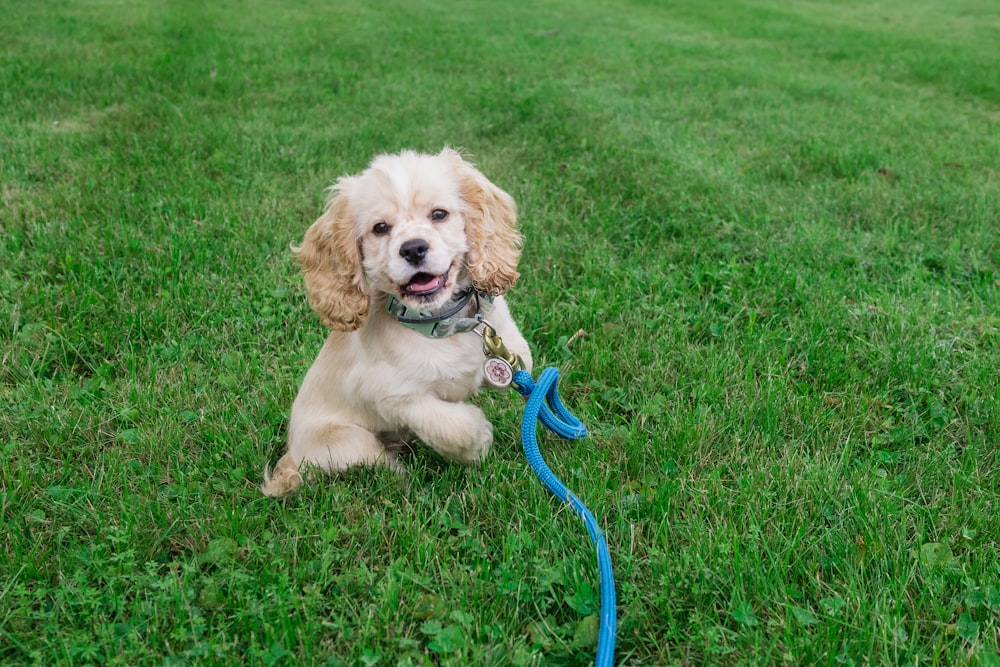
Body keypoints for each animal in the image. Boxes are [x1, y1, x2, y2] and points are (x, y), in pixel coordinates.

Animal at [264, 149, 532, 498]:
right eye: (380, 228)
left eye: (439, 214)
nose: (414, 248)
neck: (439, 324)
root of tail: (292, 458)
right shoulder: (390, 394)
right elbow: (451, 425)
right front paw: (479, 440)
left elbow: (516, 355)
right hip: (349, 441)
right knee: (379, 464)